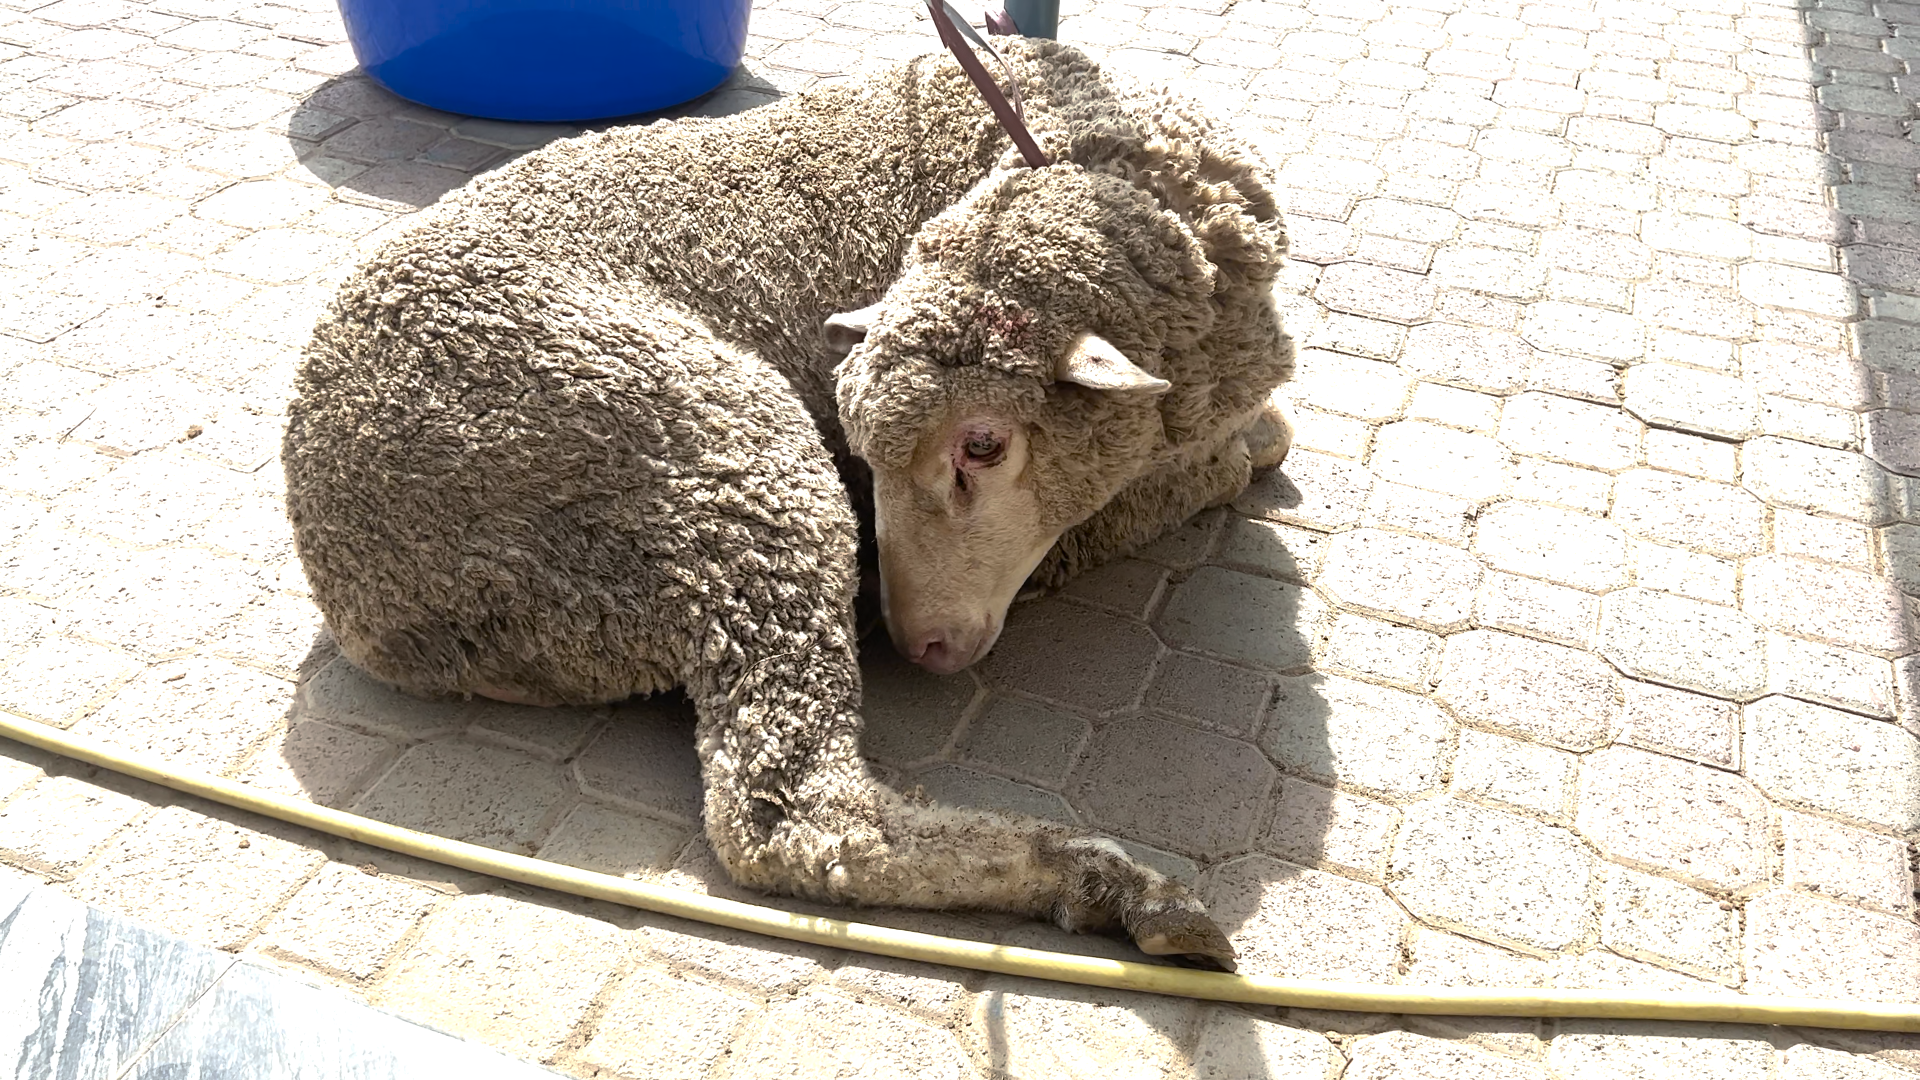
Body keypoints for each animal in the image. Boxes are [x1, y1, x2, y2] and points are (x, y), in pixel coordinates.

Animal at [280, 35, 1290, 968]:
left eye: (983, 445)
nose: (916, 641)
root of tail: (362, 587)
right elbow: (1231, 459)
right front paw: (1232, 457)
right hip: (723, 465)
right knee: (798, 820)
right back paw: (1100, 882)